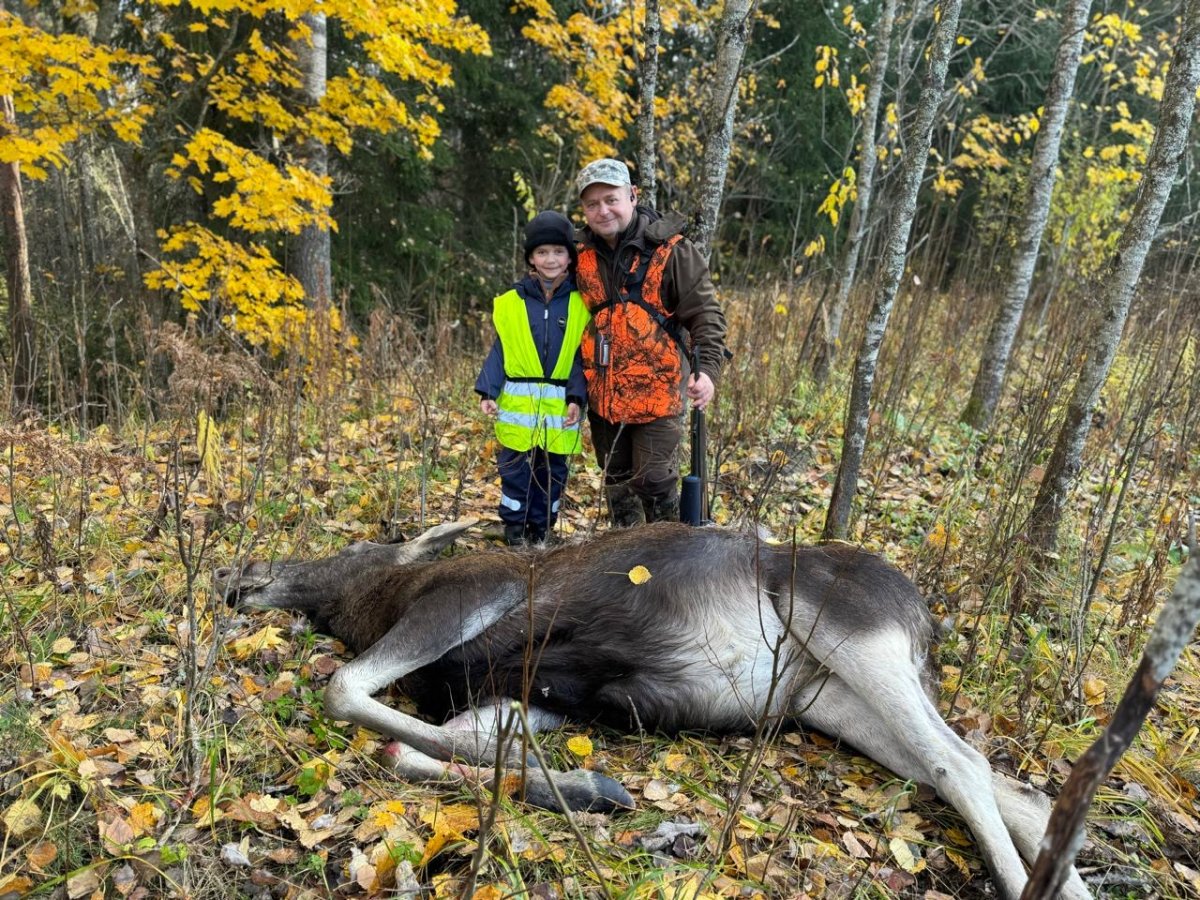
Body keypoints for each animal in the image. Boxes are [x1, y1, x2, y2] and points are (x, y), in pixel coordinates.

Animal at [214, 519, 1092, 900]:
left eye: (356, 547)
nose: (239, 572)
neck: (370, 604)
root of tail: (926, 619)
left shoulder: (464, 599)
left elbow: (345, 690)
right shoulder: (518, 697)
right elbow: (430, 747)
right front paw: (581, 789)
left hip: (849, 633)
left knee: (962, 761)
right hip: (833, 701)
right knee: (1012, 789)